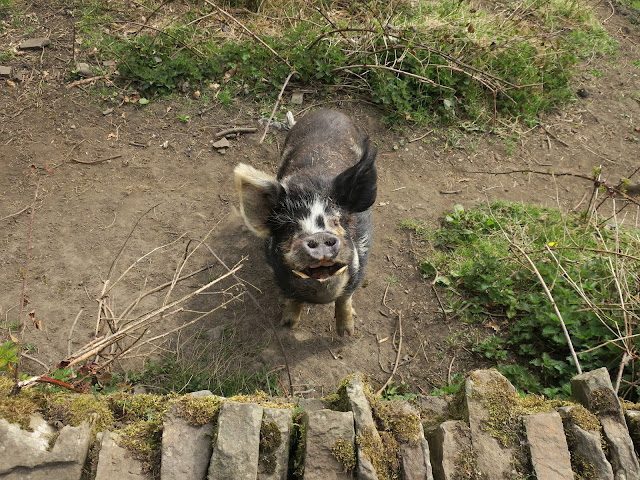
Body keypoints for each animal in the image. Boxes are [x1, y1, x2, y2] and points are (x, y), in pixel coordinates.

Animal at [234, 109, 376, 336]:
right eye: (290, 227)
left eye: (337, 221)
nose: (319, 236)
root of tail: (329, 111)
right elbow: (294, 298)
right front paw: (288, 324)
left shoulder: (361, 259)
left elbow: (345, 298)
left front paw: (347, 334)